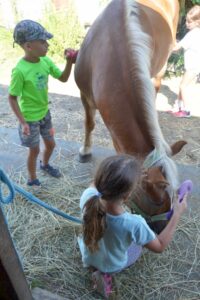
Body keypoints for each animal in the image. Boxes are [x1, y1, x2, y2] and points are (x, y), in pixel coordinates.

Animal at [74, 0, 187, 232]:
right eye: (155, 199)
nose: (162, 230)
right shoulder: (85, 95)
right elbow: (89, 124)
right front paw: (85, 151)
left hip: (161, 67)